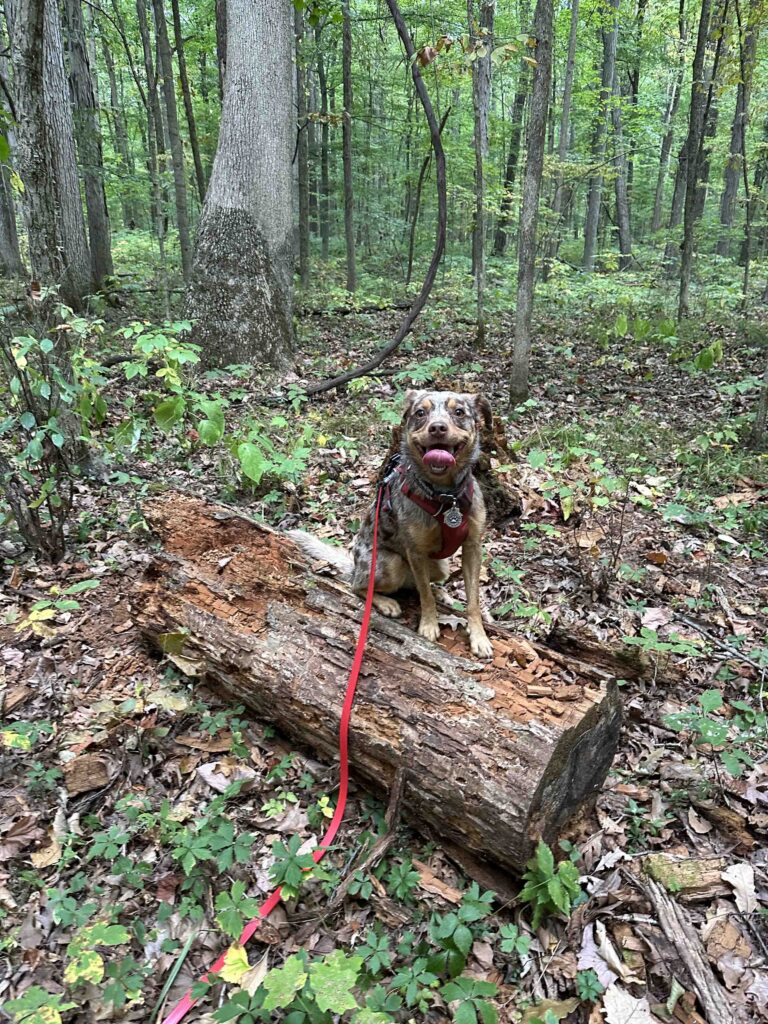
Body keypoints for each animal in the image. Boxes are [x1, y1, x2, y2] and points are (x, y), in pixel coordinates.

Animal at [290, 387, 495, 659]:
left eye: (459, 412)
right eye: (420, 413)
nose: (437, 428)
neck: (445, 496)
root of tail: (355, 566)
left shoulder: (472, 547)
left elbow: (473, 601)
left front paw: (479, 637)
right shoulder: (415, 551)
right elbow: (425, 596)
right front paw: (429, 625)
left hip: (441, 565)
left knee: (417, 584)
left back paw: (440, 592)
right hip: (390, 564)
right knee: (360, 587)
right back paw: (385, 601)